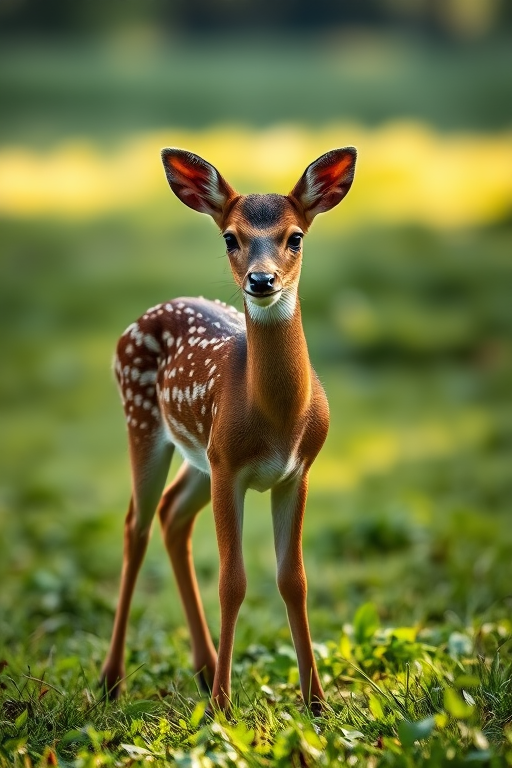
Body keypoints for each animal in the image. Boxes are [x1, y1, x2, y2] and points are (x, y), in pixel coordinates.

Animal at [100, 146, 357, 714]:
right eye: (230, 238)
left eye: (295, 236)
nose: (261, 281)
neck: (279, 420)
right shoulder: (230, 468)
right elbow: (233, 582)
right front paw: (222, 706)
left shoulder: (295, 472)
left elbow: (293, 580)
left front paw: (317, 703)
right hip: (145, 423)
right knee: (136, 524)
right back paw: (112, 679)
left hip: (200, 456)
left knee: (172, 516)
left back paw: (201, 665)